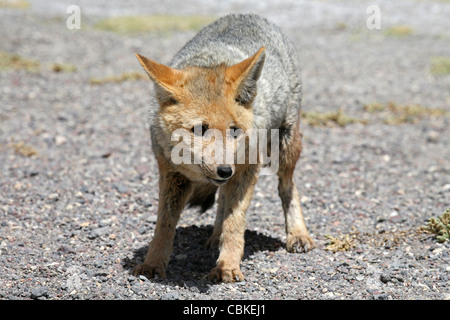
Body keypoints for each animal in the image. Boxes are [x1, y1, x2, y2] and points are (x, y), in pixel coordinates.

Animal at [132, 14, 314, 282]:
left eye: (234, 130)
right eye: (200, 129)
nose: (225, 170)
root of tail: (249, 14)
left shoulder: (247, 170)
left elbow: (235, 222)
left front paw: (227, 265)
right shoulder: (171, 174)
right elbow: (164, 225)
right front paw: (152, 264)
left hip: (285, 150)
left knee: (287, 188)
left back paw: (298, 234)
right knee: (222, 200)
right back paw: (215, 236)